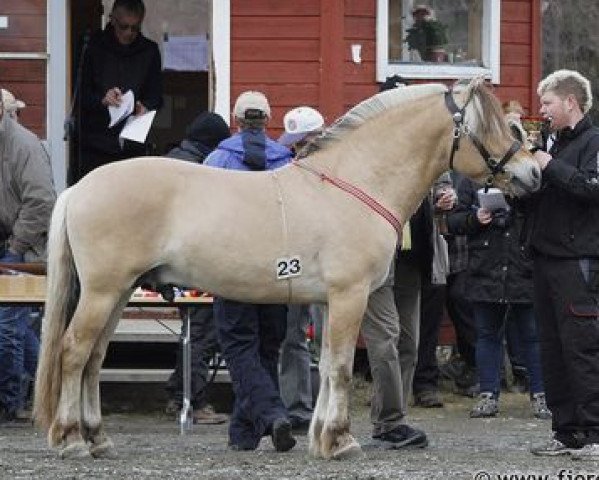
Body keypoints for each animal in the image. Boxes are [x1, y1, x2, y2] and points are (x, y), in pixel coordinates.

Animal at [31, 78, 540, 458]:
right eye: (490, 127)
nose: (532, 173)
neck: (355, 182)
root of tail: (79, 189)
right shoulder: (351, 295)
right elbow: (340, 367)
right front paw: (341, 441)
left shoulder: (331, 302)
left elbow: (328, 368)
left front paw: (322, 438)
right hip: (102, 292)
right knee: (73, 352)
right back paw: (72, 440)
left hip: (118, 294)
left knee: (94, 358)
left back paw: (97, 438)